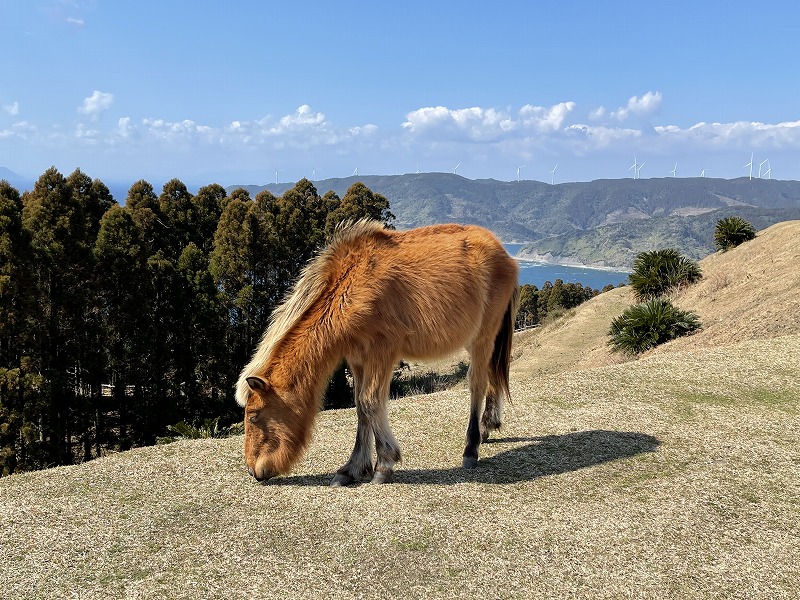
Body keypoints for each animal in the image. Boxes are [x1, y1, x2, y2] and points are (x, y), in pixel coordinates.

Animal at [236, 218, 520, 486]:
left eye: (253, 417)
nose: (252, 471)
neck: (351, 287)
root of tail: (504, 253)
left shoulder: (381, 353)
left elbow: (370, 402)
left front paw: (384, 464)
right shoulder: (357, 359)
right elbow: (360, 408)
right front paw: (352, 469)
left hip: (483, 337)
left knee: (477, 384)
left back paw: (471, 448)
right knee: (492, 376)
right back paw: (487, 427)